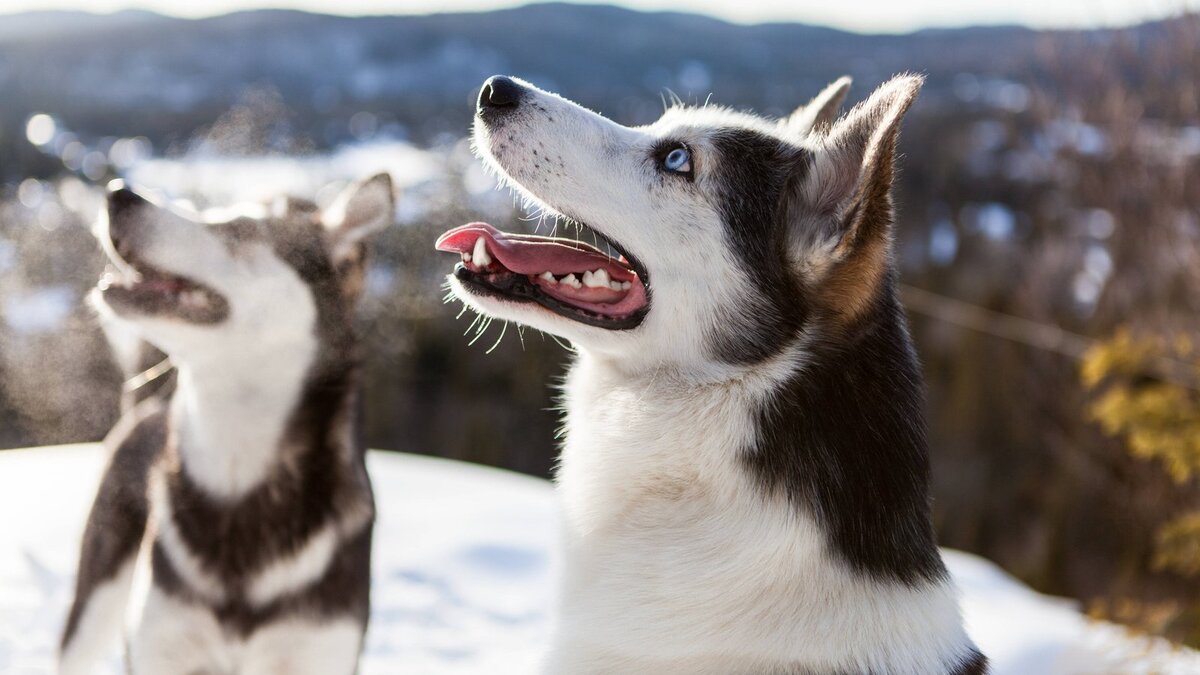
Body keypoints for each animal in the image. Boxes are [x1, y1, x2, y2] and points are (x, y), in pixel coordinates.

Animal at [59, 174, 393, 672]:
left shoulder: (315, 651)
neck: (236, 478)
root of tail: (148, 409)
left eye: (238, 229)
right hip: (93, 608)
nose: (118, 192)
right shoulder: (161, 647)